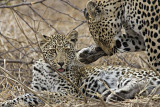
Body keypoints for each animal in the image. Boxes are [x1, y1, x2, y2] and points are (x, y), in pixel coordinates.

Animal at [1, 29, 160, 106]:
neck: (48, 70)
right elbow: (24, 96)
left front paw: (44, 95)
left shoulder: (71, 92)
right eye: (53, 51)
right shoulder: (35, 88)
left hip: (127, 75)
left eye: (67, 50)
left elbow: (50, 94)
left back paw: (113, 95)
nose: (61, 63)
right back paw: (112, 95)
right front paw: (6, 102)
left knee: (139, 83)